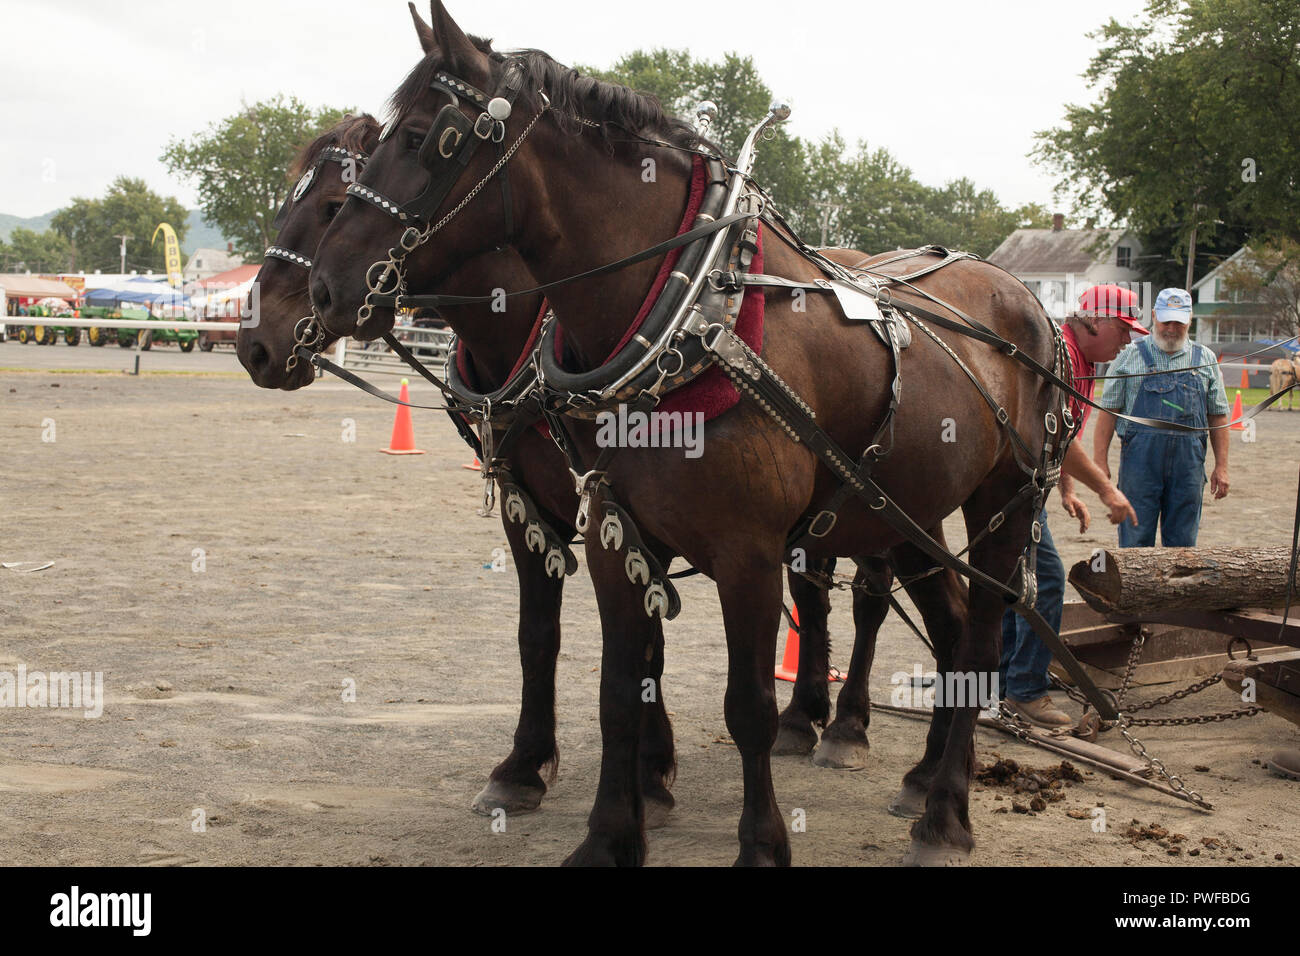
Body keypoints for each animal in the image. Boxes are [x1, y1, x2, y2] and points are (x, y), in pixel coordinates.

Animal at [314, 1, 1055, 868]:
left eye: (427, 137)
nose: (326, 285)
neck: (692, 312)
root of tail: (1021, 296)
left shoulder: (748, 553)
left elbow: (749, 708)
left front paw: (761, 846)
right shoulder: (613, 536)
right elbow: (616, 690)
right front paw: (608, 835)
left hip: (1005, 501)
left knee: (978, 642)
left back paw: (943, 814)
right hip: (905, 513)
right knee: (950, 630)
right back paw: (921, 781)